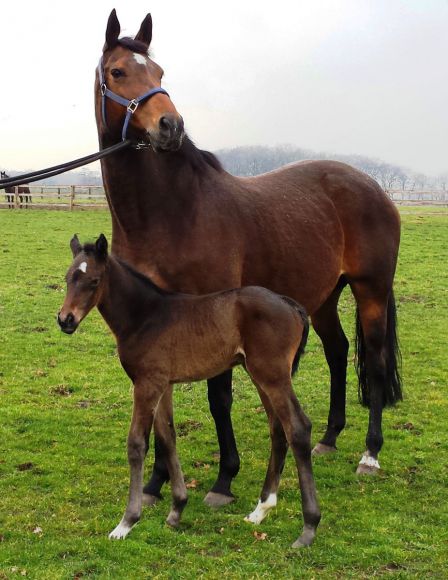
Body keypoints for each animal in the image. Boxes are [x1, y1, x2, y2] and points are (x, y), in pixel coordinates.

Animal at [57, 236, 320, 548]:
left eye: (94, 280)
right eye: (68, 278)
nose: (65, 319)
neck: (145, 316)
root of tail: (290, 304)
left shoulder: (146, 384)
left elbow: (137, 444)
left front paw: (126, 522)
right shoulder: (163, 385)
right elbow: (168, 437)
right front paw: (176, 510)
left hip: (273, 375)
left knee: (298, 428)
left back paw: (309, 527)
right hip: (261, 375)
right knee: (278, 429)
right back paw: (260, 510)